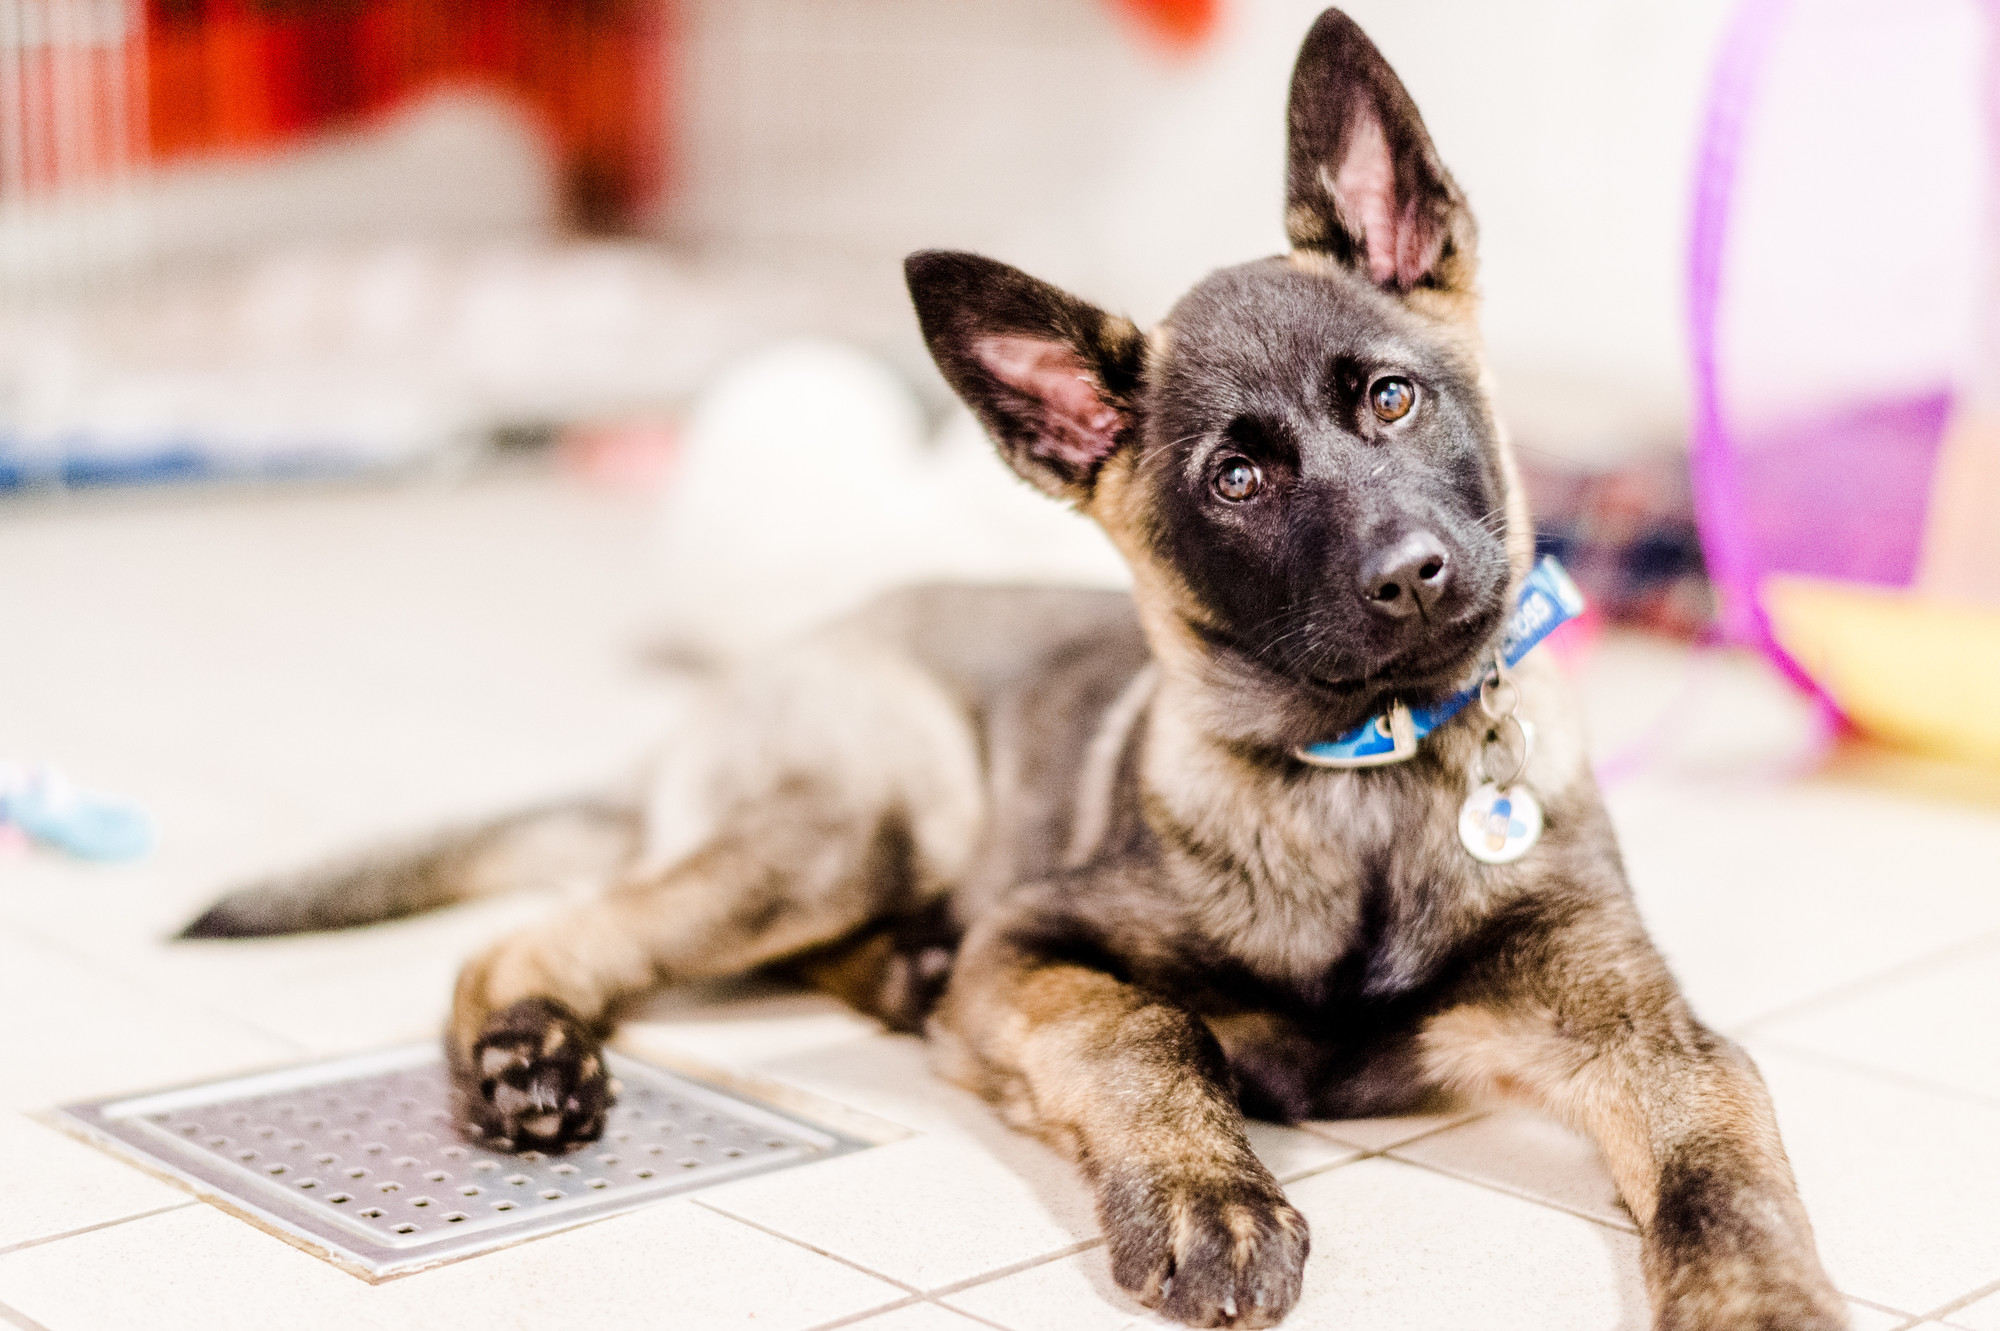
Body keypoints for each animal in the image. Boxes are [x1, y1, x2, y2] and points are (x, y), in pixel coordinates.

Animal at [184, 12, 1840, 1327]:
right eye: (1239, 478)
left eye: (1389, 398)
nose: (1416, 577)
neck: (1363, 782)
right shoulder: (1040, 945)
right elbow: (1145, 1029)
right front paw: (1208, 1192)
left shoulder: (1658, 1041)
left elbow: (1726, 1175)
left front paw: (1763, 1299)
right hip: (855, 815)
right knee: (542, 934)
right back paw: (528, 1053)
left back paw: (894, 977)